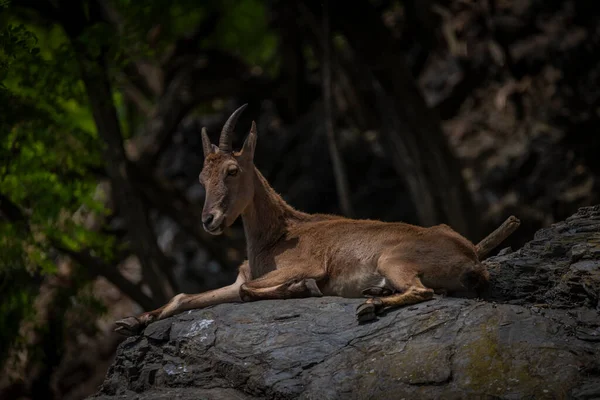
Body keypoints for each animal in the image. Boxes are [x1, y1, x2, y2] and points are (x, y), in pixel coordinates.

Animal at [113, 104, 520, 336]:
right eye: (201, 177)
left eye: (231, 170)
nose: (209, 220)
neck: (279, 234)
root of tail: (471, 259)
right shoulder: (240, 279)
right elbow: (185, 296)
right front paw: (129, 322)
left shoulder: (303, 264)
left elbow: (251, 290)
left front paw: (303, 288)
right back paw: (375, 293)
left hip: (393, 258)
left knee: (424, 291)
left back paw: (370, 305)